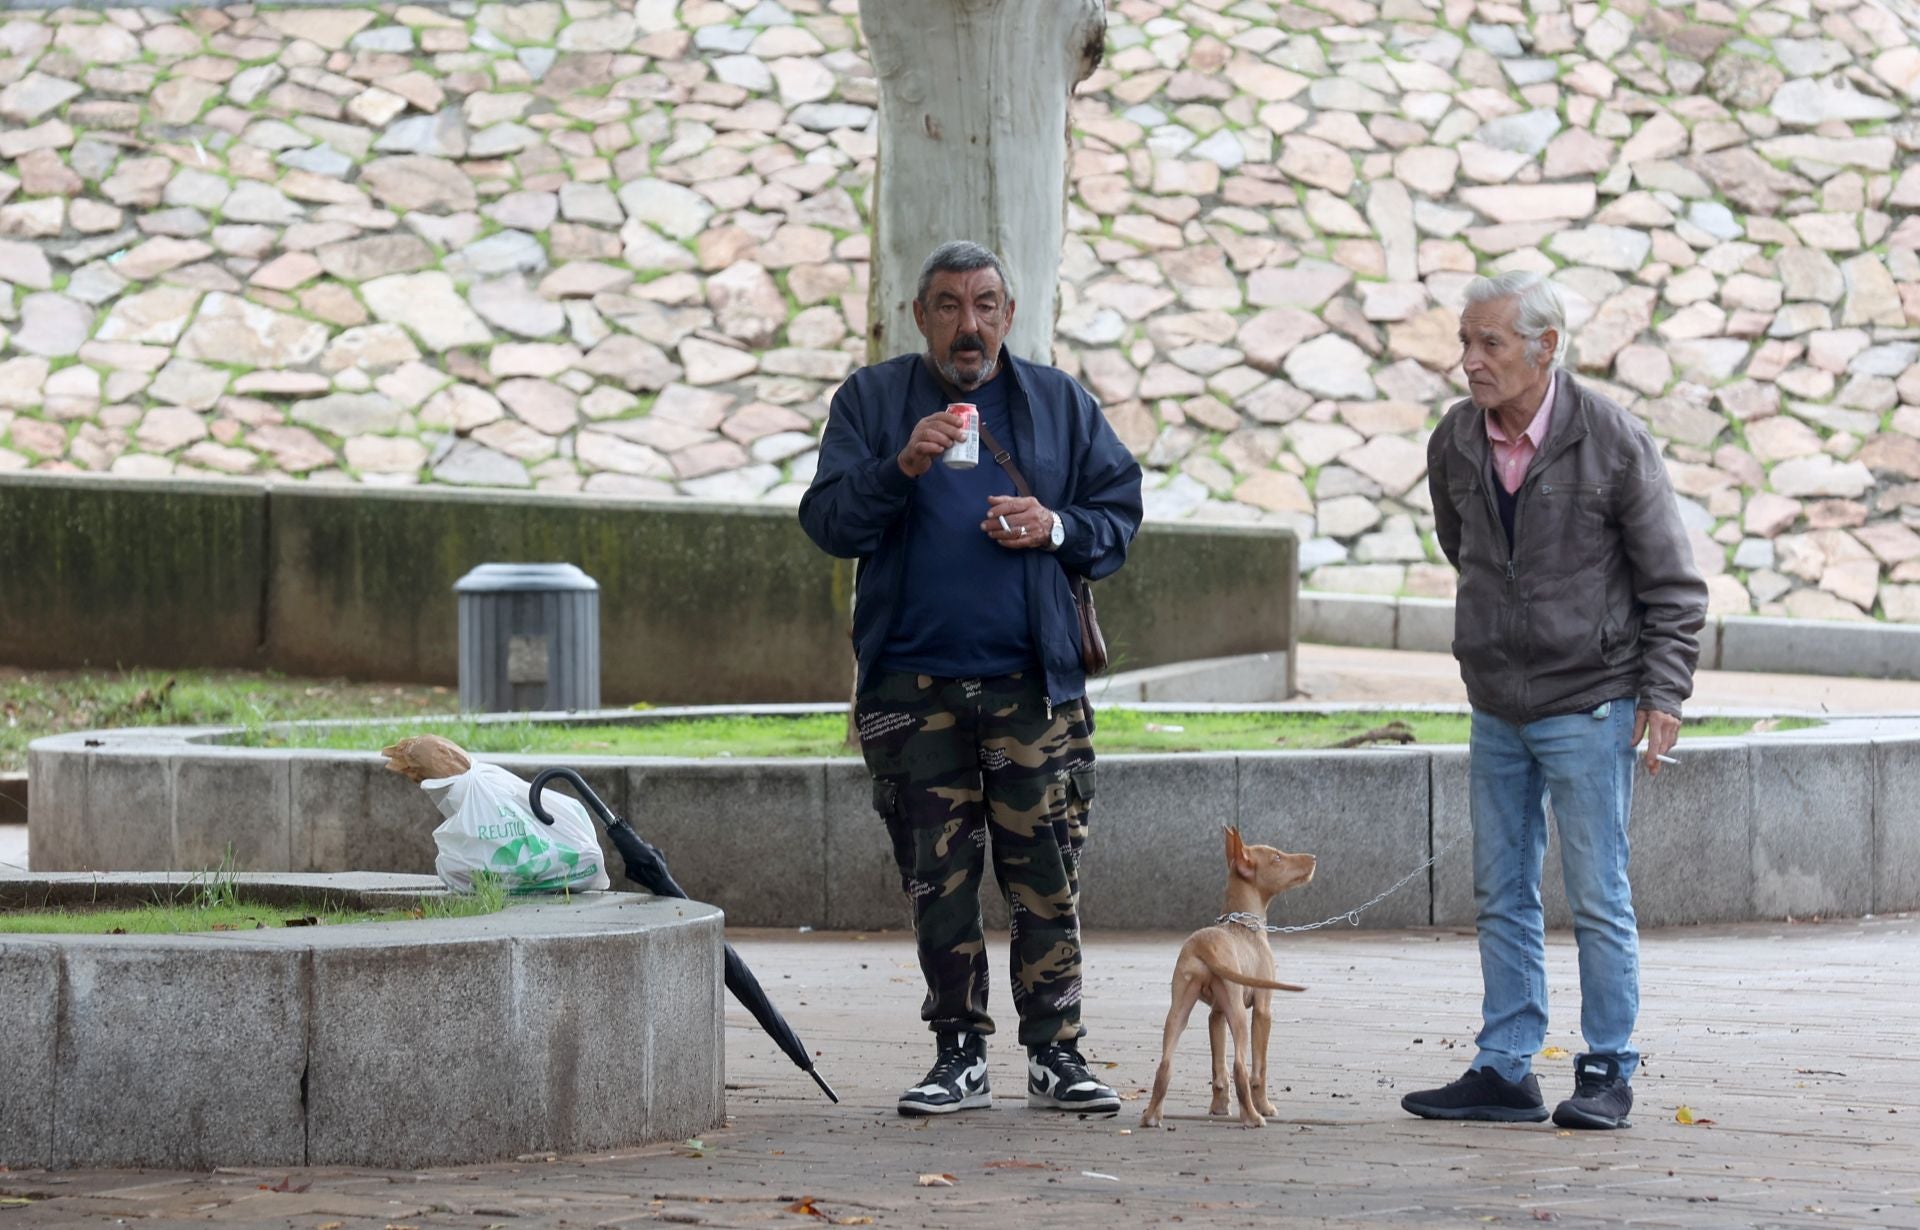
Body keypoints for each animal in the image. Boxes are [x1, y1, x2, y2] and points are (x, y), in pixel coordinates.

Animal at [1136, 825, 1320, 1120]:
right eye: (1277, 857)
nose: (1313, 858)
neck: (1242, 923)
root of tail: (1203, 945)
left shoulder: (1216, 1014)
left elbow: (1218, 1068)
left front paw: (1219, 1107)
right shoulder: (1262, 1010)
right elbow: (1259, 1067)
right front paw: (1264, 1106)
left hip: (1179, 1010)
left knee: (1165, 1064)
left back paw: (1151, 1116)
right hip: (1238, 1015)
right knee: (1240, 1066)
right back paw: (1254, 1117)